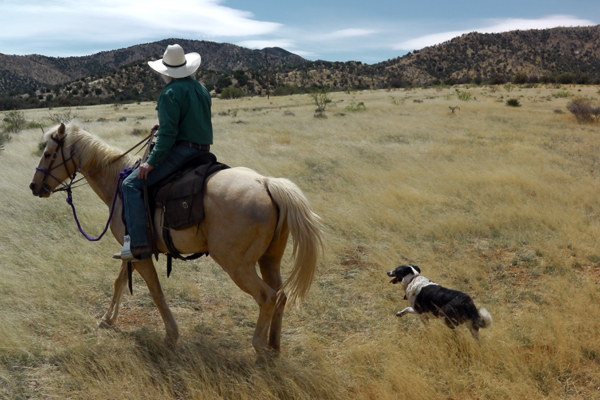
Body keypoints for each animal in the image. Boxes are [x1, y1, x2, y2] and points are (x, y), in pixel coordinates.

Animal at [29, 122, 324, 356]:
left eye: (48, 153)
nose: (34, 186)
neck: (118, 185)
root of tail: (266, 183)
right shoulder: (130, 250)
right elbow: (119, 282)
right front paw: (107, 319)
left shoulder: (141, 253)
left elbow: (156, 292)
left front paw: (171, 335)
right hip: (269, 259)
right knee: (281, 295)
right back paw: (274, 346)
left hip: (237, 265)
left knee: (267, 297)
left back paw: (259, 350)